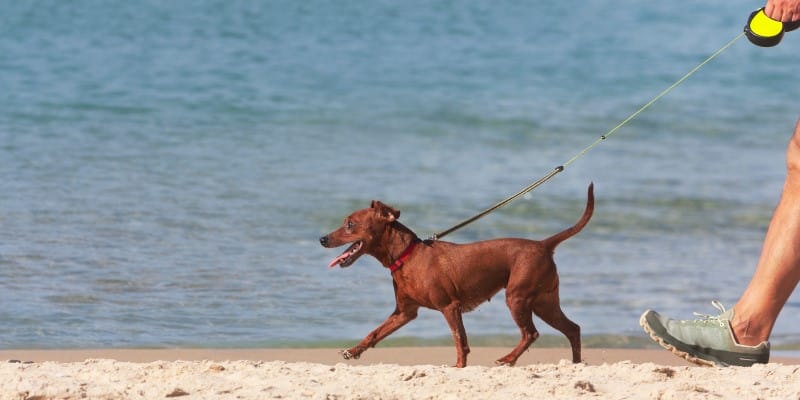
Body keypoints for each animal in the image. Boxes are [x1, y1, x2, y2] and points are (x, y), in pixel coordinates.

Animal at [320, 183, 592, 368]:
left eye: (350, 224)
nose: (322, 239)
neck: (407, 255)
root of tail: (543, 244)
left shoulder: (450, 307)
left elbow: (460, 340)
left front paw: (459, 367)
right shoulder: (404, 313)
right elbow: (375, 333)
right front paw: (353, 351)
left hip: (518, 299)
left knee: (531, 333)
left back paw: (508, 359)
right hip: (545, 303)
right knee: (573, 329)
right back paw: (575, 364)